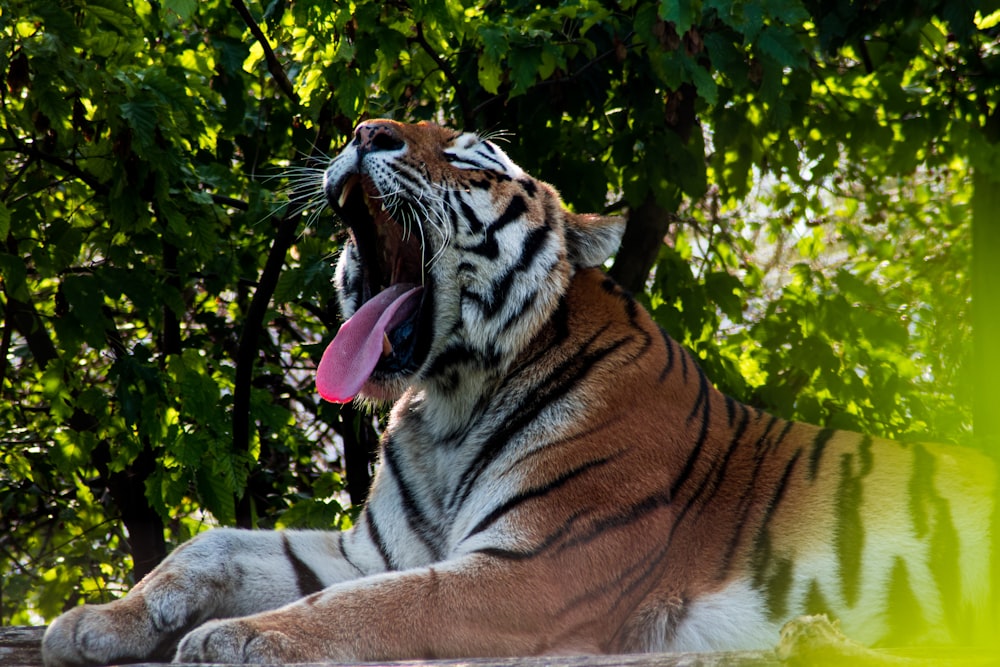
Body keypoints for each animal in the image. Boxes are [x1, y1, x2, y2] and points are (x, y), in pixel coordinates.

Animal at [45, 117, 1000, 664]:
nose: (364, 129)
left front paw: (245, 636)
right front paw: (96, 619)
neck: (447, 402)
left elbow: (375, 604)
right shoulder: (378, 547)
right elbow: (212, 545)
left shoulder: (535, 565)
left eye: (471, 162)